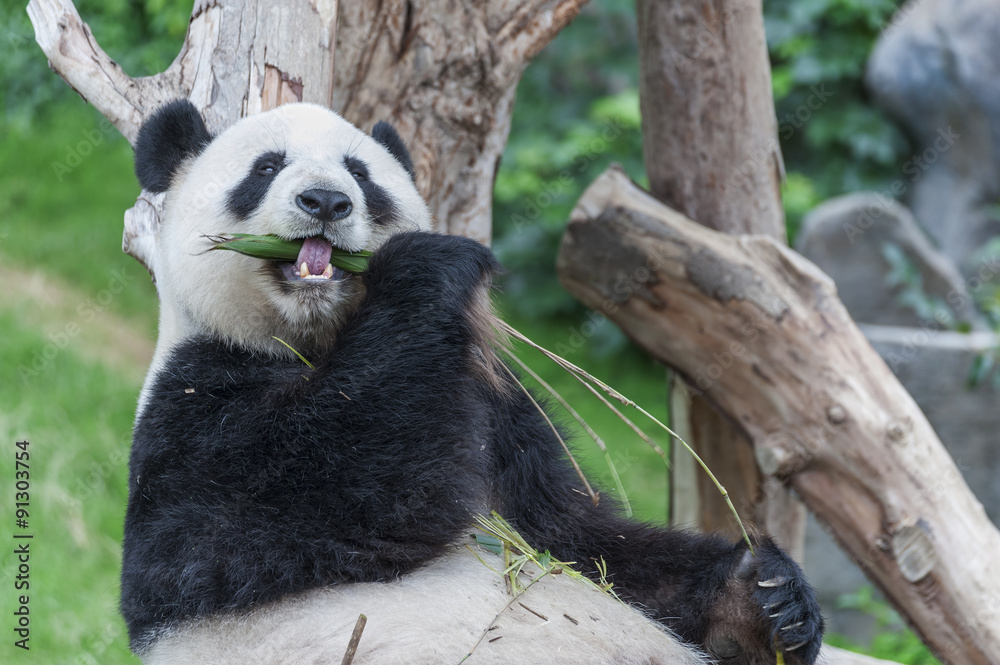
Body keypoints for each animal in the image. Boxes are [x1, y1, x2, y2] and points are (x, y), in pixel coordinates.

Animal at [121, 100, 824, 665]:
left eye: (361, 173)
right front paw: (426, 265)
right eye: (266, 167)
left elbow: (581, 540)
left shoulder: (496, 407)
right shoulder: (193, 402)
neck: (317, 338)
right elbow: (318, 503)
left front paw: (765, 601)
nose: (325, 201)